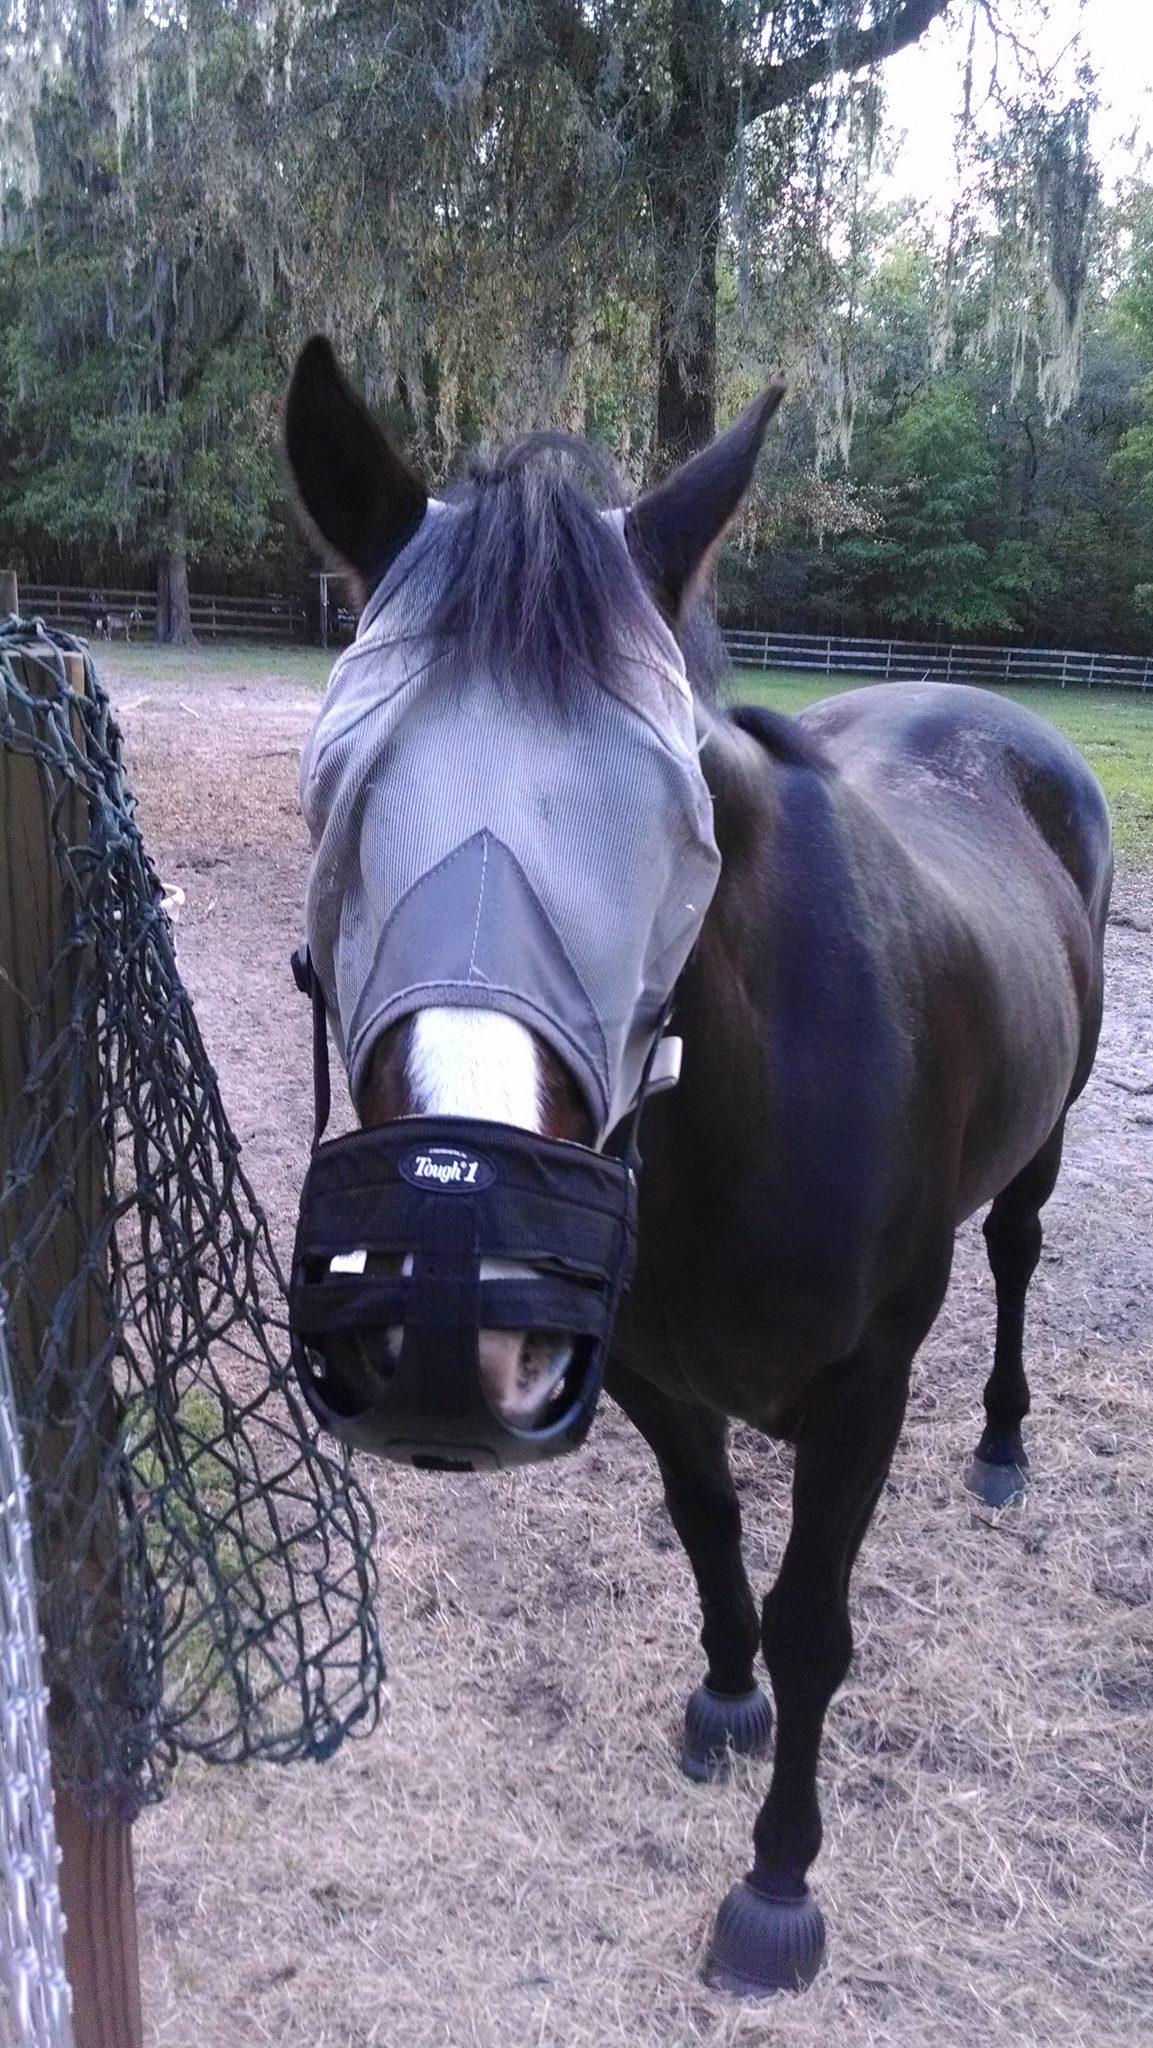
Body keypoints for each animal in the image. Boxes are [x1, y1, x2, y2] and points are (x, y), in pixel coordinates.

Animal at [283, 335, 1112, 1996]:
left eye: (680, 826)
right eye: (332, 797)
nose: (446, 1326)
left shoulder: (863, 1390)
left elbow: (811, 1625)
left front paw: (777, 1885)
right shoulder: (653, 1375)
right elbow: (712, 1538)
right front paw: (723, 1700)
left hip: (1038, 1153)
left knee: (1016, 1261)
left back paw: (1001, 1444)